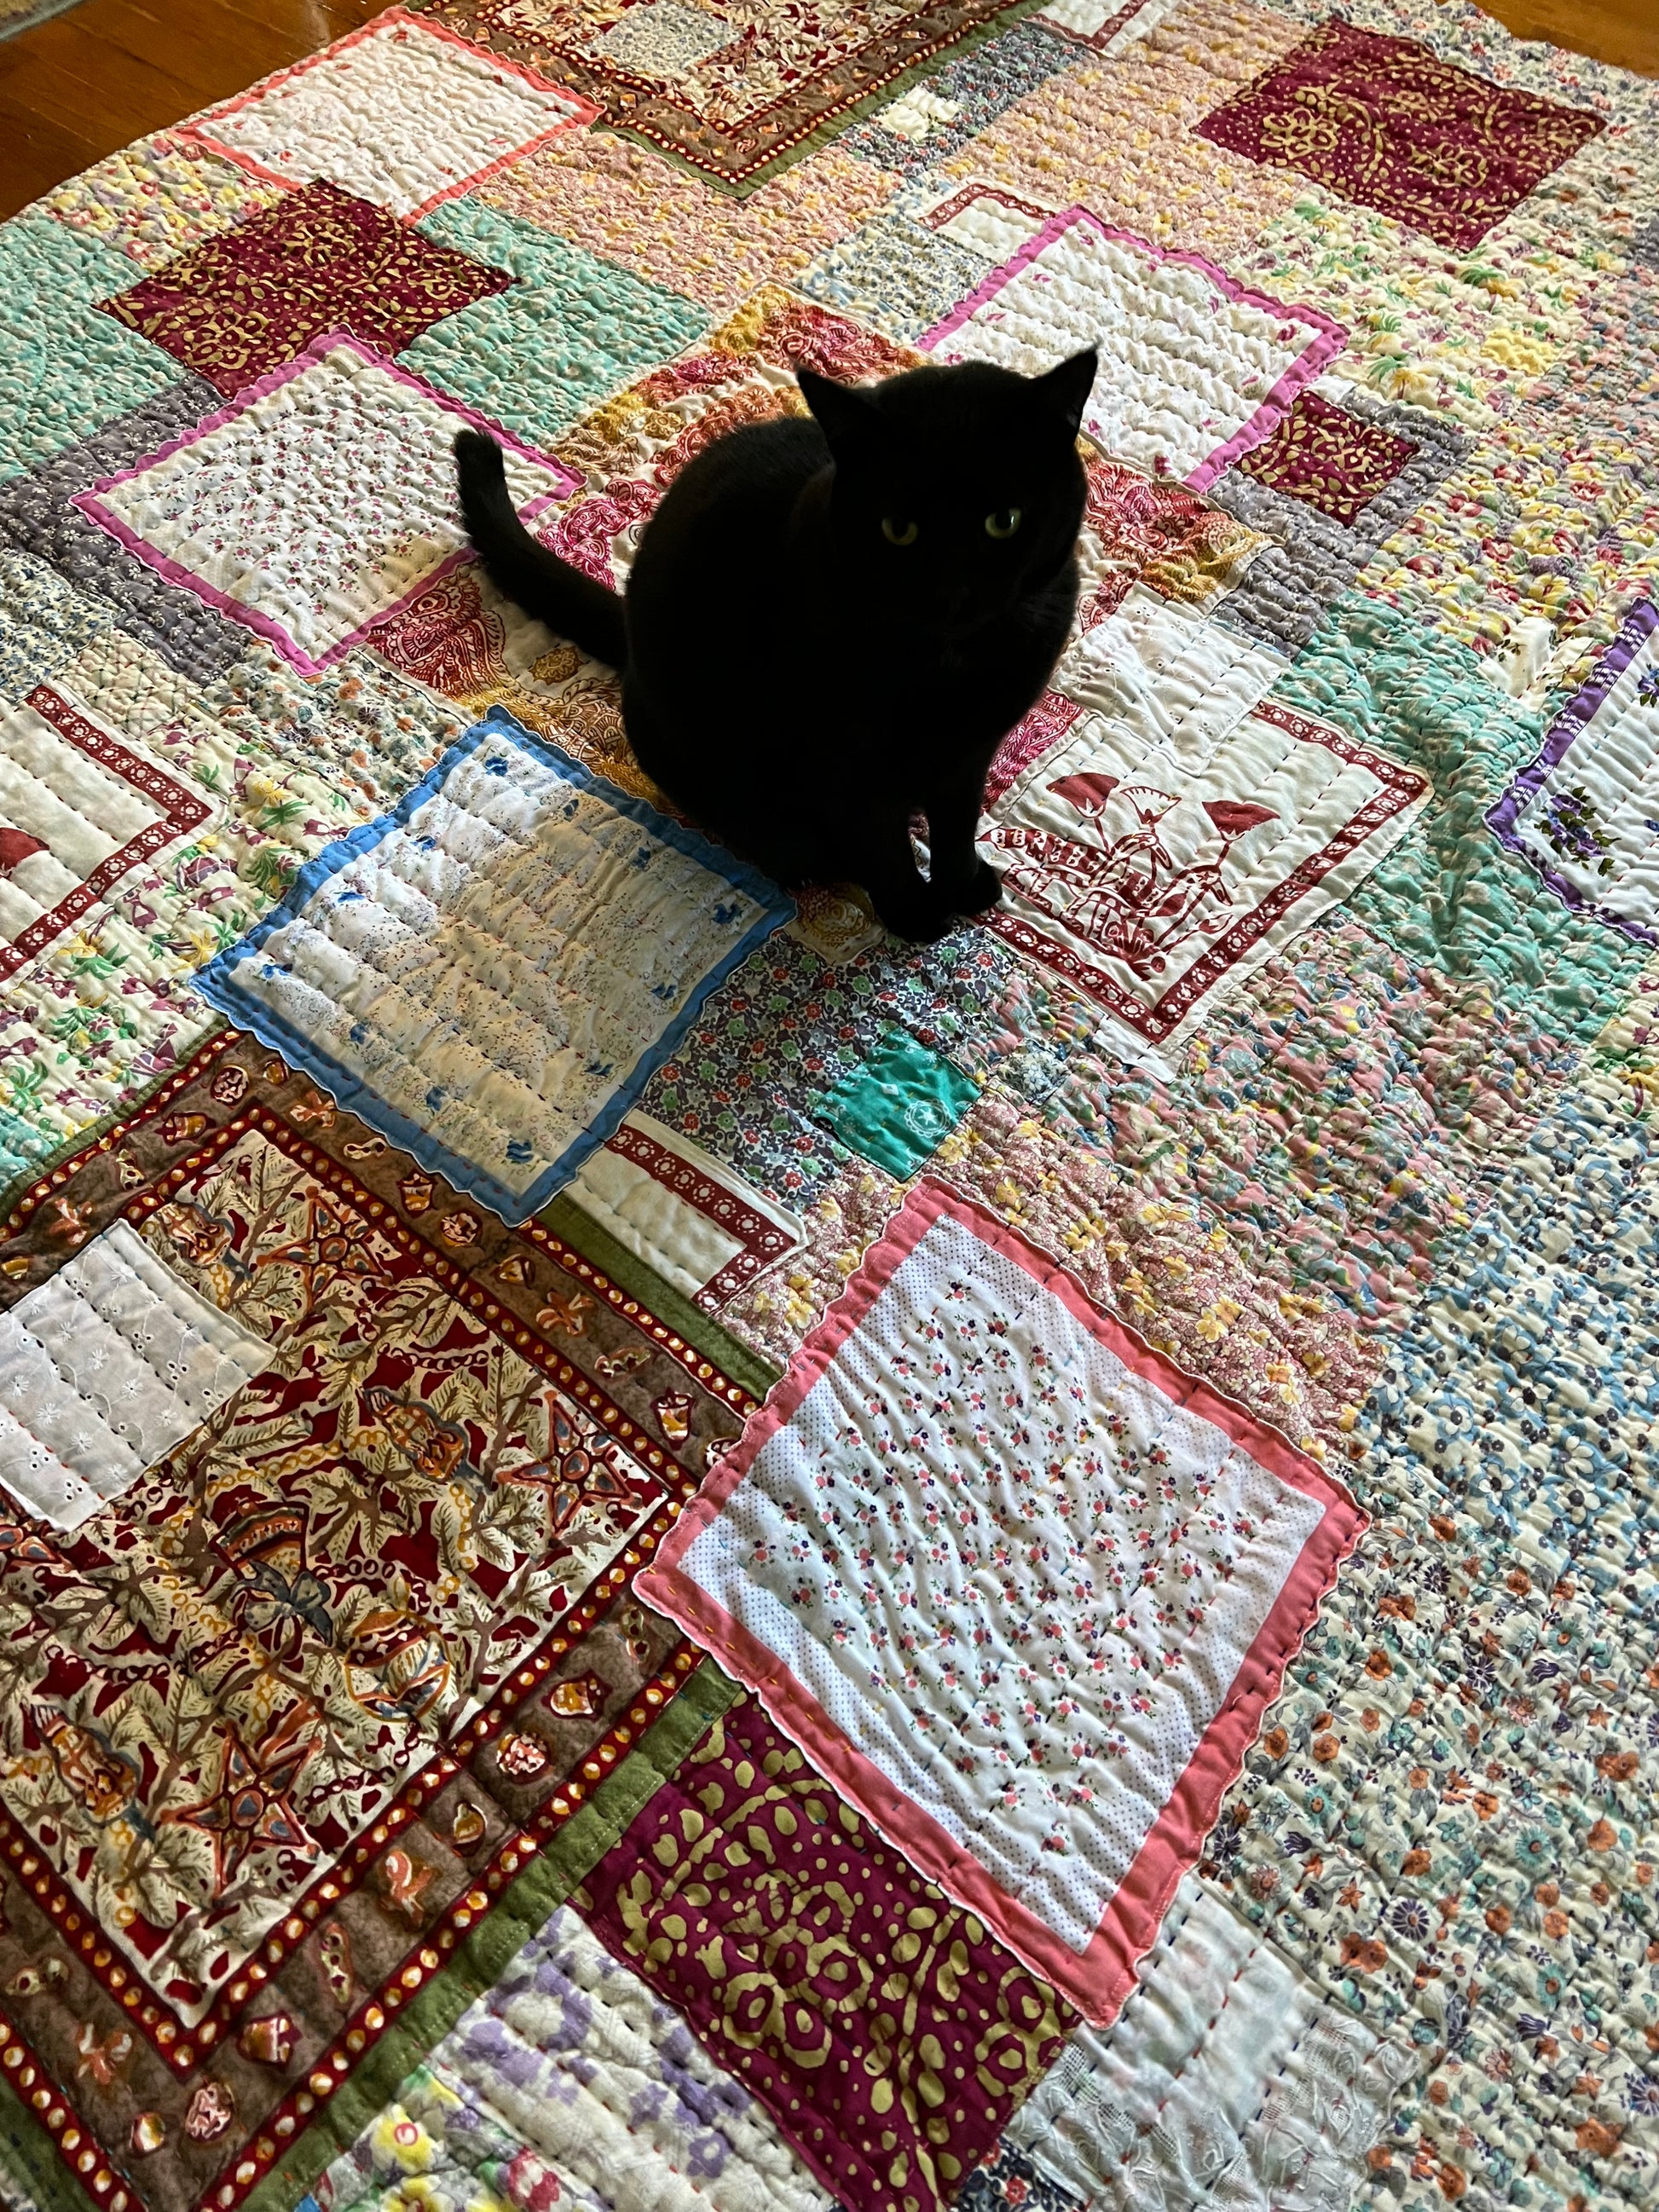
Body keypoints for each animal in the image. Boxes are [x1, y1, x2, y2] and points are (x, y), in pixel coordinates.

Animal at [462, 349, 1096, 938]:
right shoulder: (840, 759)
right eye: (899, 530)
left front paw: (961, 881)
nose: (952, 593)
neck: (949, 668)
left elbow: (958, 824)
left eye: (1004, 522)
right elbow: (880, 842)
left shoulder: (971, 750)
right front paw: (914, 911)